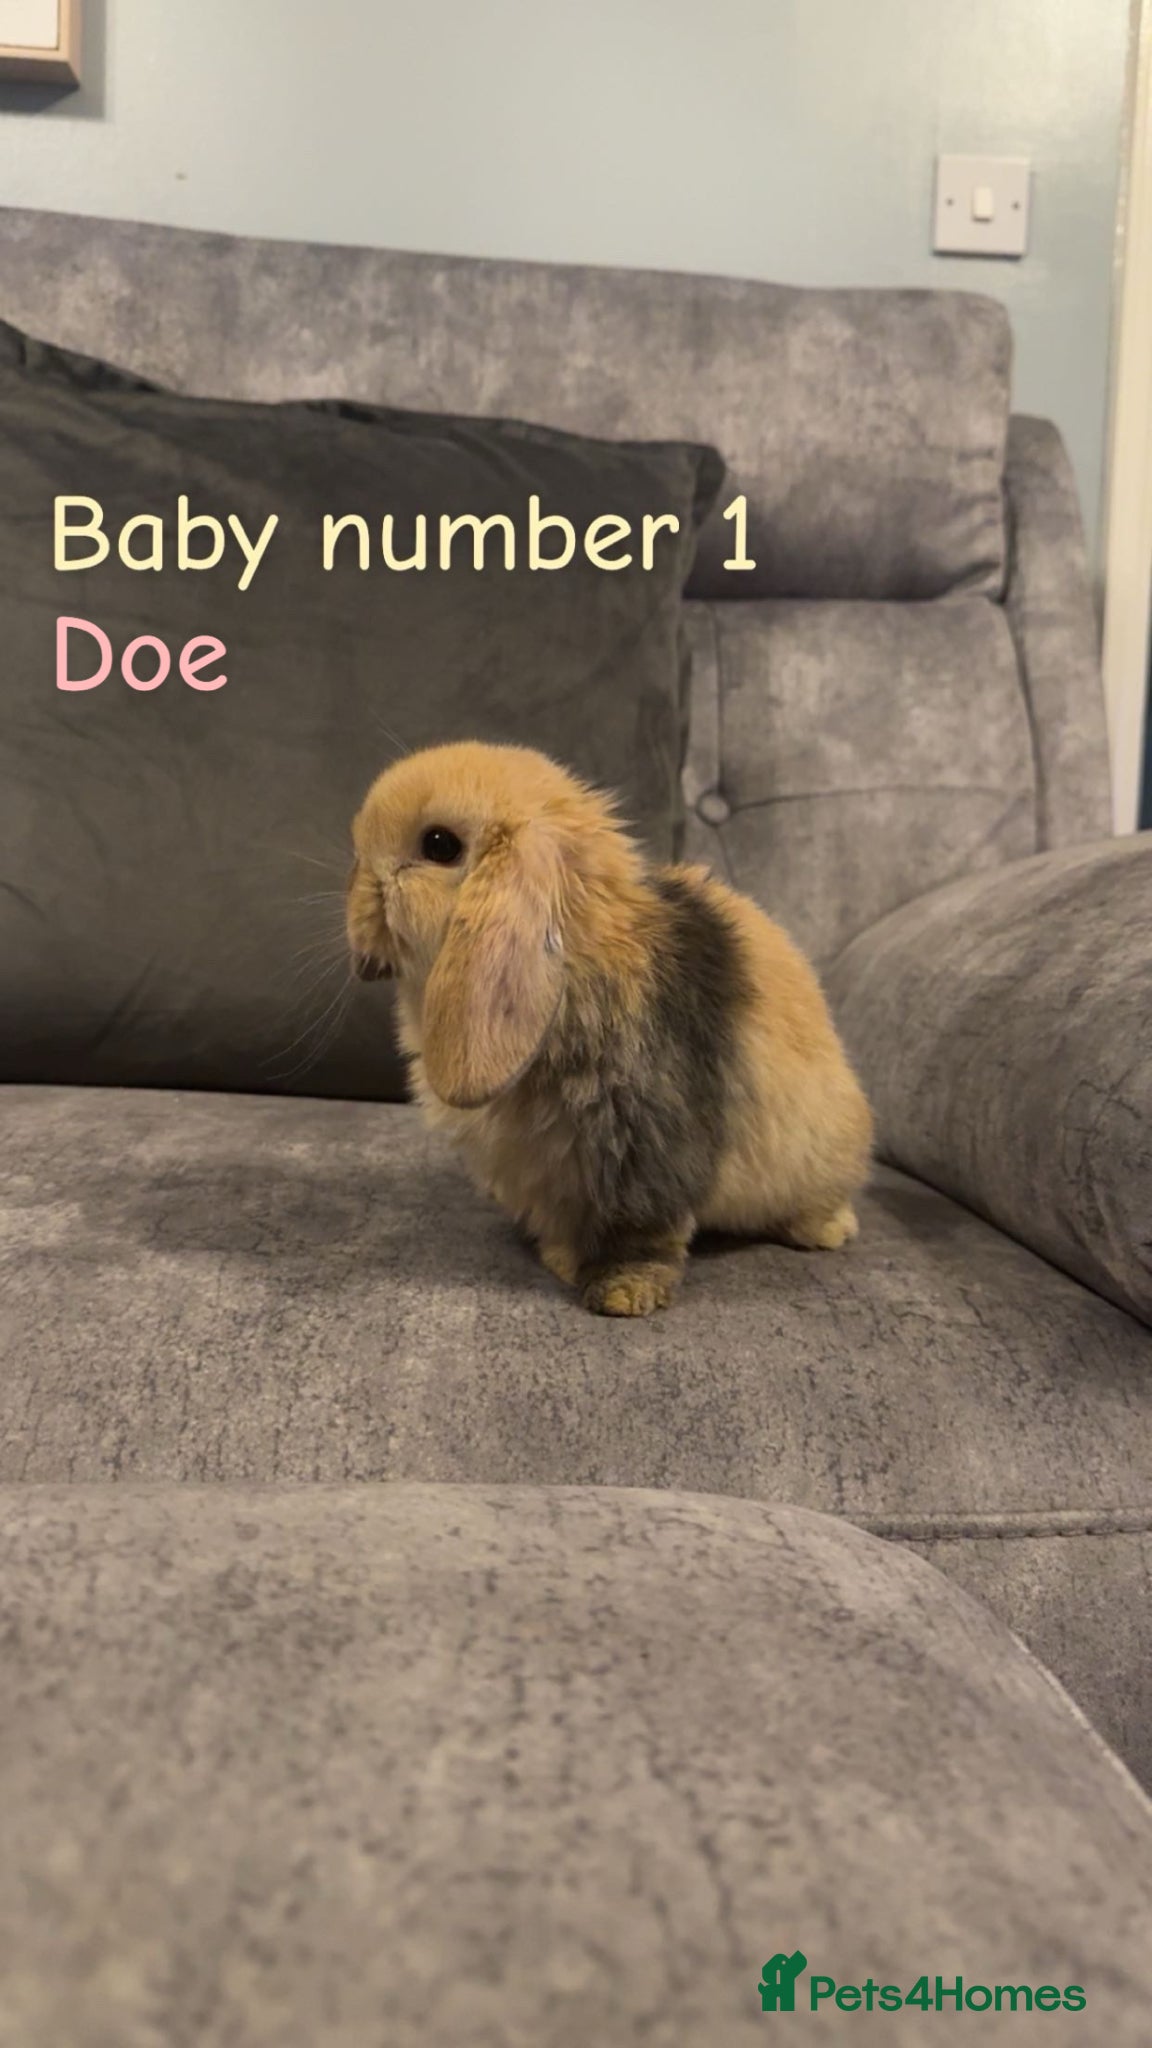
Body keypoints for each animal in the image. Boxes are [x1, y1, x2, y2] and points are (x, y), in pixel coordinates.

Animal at [347, 740, 873, 1316]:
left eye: (439, 845)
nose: (359, 892)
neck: (578, 958)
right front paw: (561, 1258)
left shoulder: (645, 1146)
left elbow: (641, 1230)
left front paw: (622, 1293)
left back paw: (823, 1231)